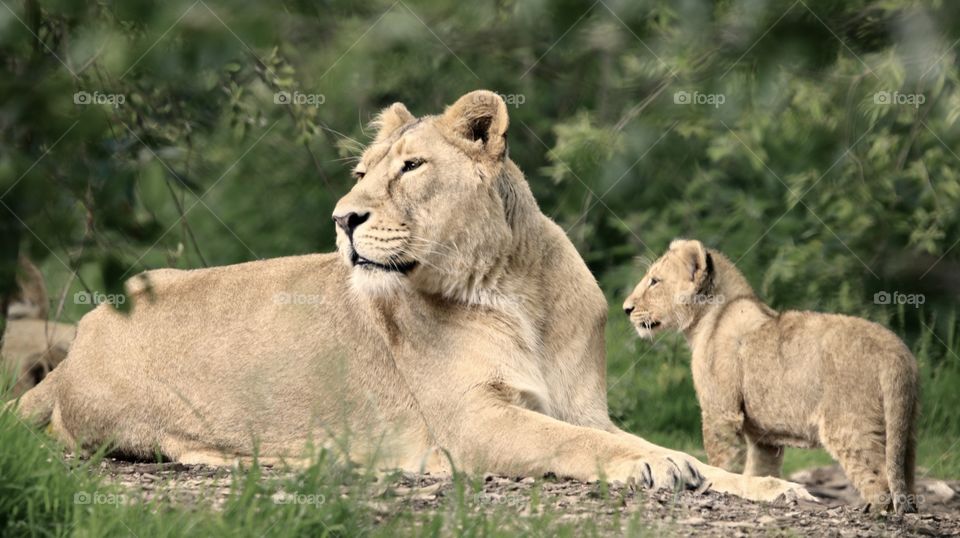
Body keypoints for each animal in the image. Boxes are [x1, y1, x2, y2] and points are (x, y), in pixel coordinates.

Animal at [14, 91, 810, 503]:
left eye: (410, 167)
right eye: (361, 172)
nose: (343, 219)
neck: (514, 287)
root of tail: (76, 346)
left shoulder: (584, 405)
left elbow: (663, 447)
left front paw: (769, 490)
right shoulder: (472, 423)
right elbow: (582, 443)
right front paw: (656, 467)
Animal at [623, 239, 920, 513]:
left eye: (654, 281)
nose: (626, 308)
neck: (709, 317)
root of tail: (895, 352)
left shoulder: (720, 413)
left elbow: (723, 461)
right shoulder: (764, 438)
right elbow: (761, 469)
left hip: (850, 426)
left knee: (880, 481)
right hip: (905, 427)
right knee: (903, 474)